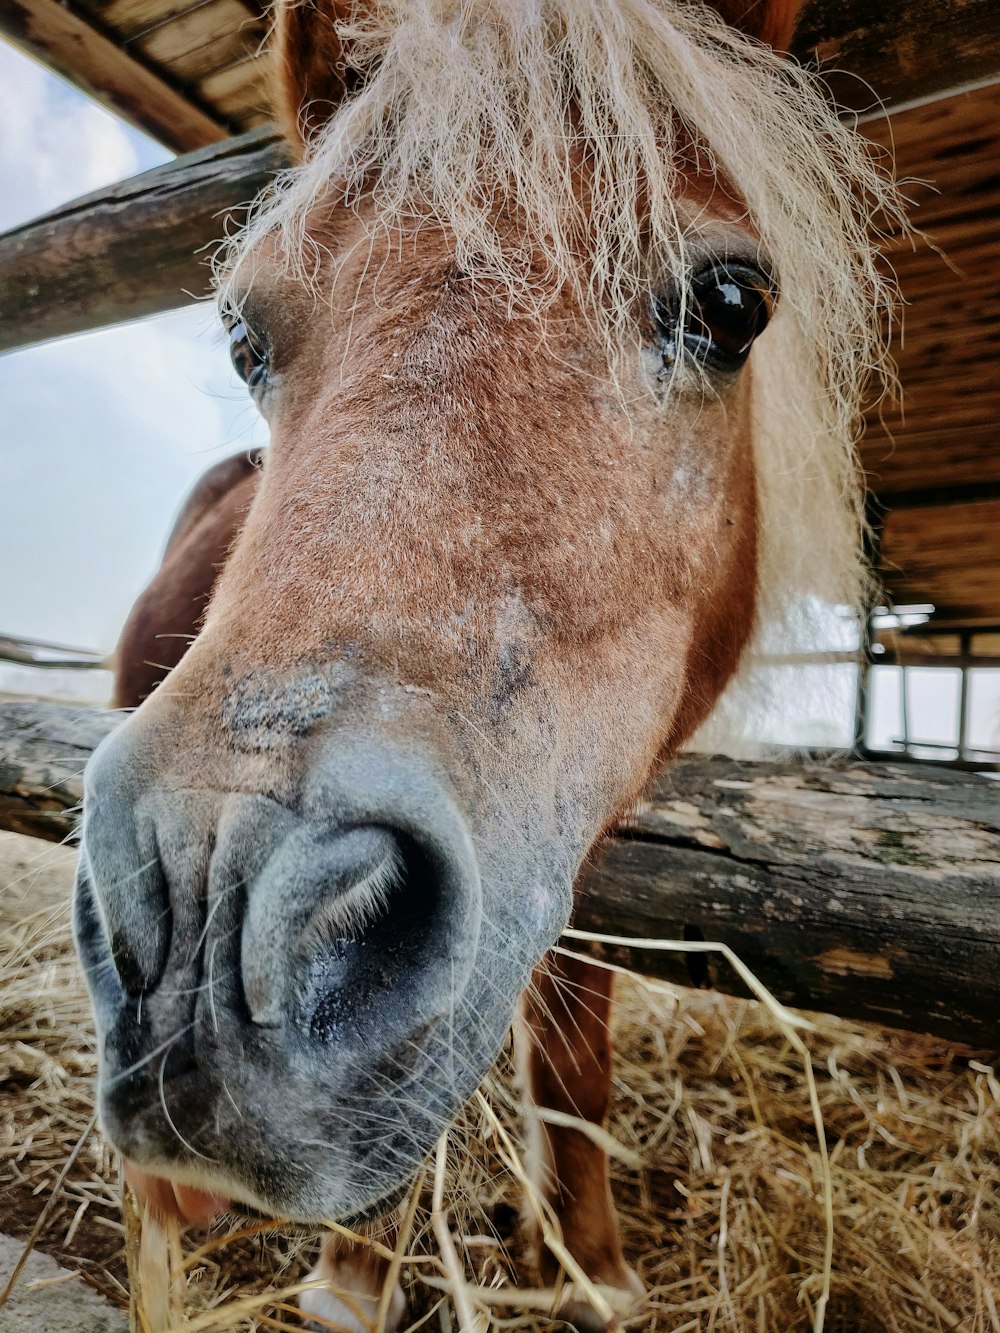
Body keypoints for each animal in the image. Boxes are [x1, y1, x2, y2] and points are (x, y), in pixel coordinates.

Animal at [74, 5, 896, 1327]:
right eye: (244, 338)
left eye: (731, 304)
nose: (207, 921)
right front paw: (355, 1274)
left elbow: (572, 1051)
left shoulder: (592, 838)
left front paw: (593, 1266)